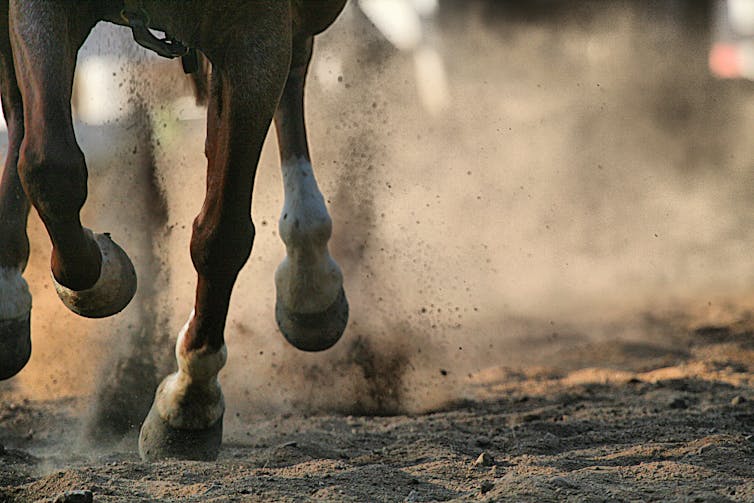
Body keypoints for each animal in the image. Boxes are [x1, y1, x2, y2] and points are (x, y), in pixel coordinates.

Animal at [0, 0, 349, 461]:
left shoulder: (256, 35)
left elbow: (222, 234)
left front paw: (188, 403)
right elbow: (48, 166)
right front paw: (102, 278)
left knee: (295, 69)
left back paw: (309, 282)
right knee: (22, 114)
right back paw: (8, 295)